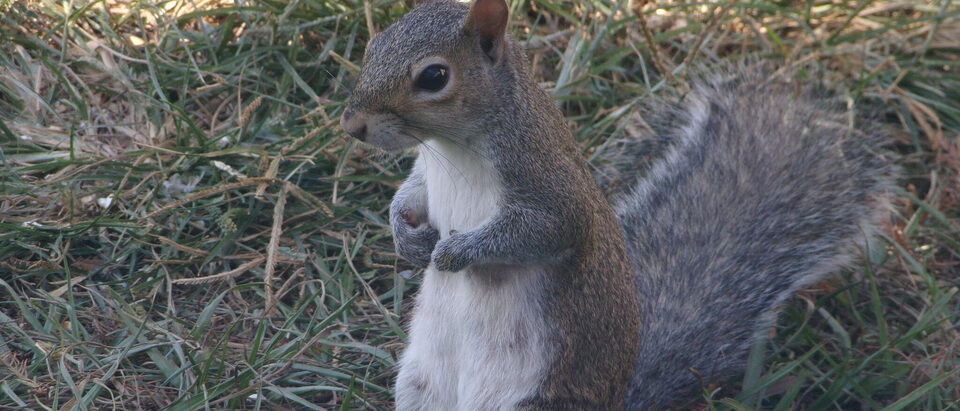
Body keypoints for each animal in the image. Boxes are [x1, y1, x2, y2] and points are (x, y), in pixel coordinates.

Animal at [339, 0, 893, 409]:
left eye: (434, 77)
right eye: (375, 44)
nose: (352, 126)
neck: (454, 148)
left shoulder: (546, 182)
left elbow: (543, 230)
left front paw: (454, 253)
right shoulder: (426, 173)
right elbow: (410, 194)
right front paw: (407, 236)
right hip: (419, 389)